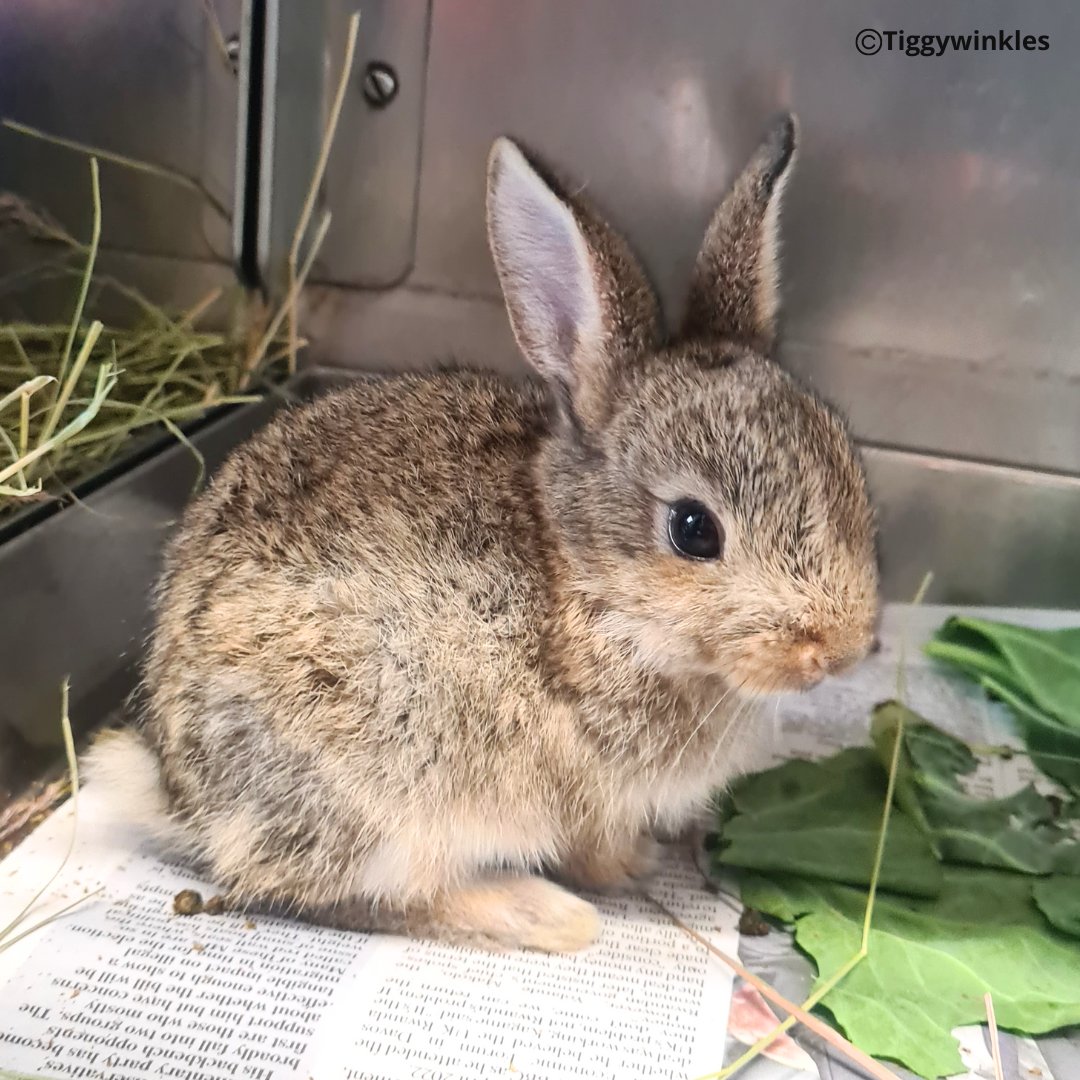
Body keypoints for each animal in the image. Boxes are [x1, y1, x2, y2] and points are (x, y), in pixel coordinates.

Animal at [84, 111, 876, 954]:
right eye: (694, 529)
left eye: (847, 466)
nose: (840, 649)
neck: (590, 588)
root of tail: (182, 797)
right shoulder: (585, 790)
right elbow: (593, 848)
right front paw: (631, 865)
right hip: (385, 784)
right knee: (354, 895)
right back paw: (545, 914)